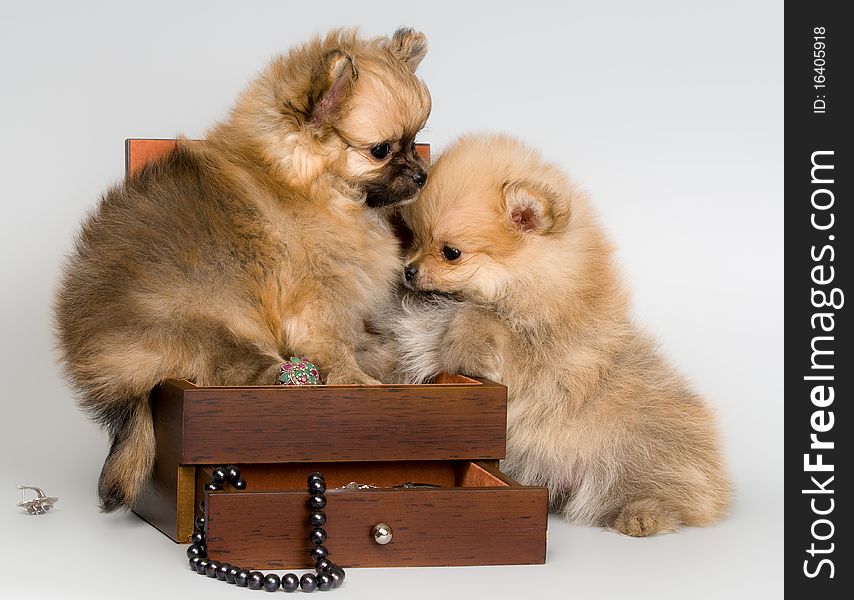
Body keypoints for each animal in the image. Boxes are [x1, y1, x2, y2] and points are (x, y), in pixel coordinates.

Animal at [51, 25, 434, 508]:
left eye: (417, 139)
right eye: (381, 150)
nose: (422, 174)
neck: (310, 187)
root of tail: (112, 377)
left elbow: (355, 340)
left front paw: (382, 356)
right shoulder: (316, 303)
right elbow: (333, 347)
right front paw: (356, 381)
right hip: (212, 325)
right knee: (238, 368)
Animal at [398, 135, 732, 536]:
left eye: (451, 253)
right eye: (414, 239)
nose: (408, 270)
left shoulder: (538, 360)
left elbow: (477, 316)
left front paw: (458, 342)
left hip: (640, 456)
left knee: (671, 496)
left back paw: (642, 515)